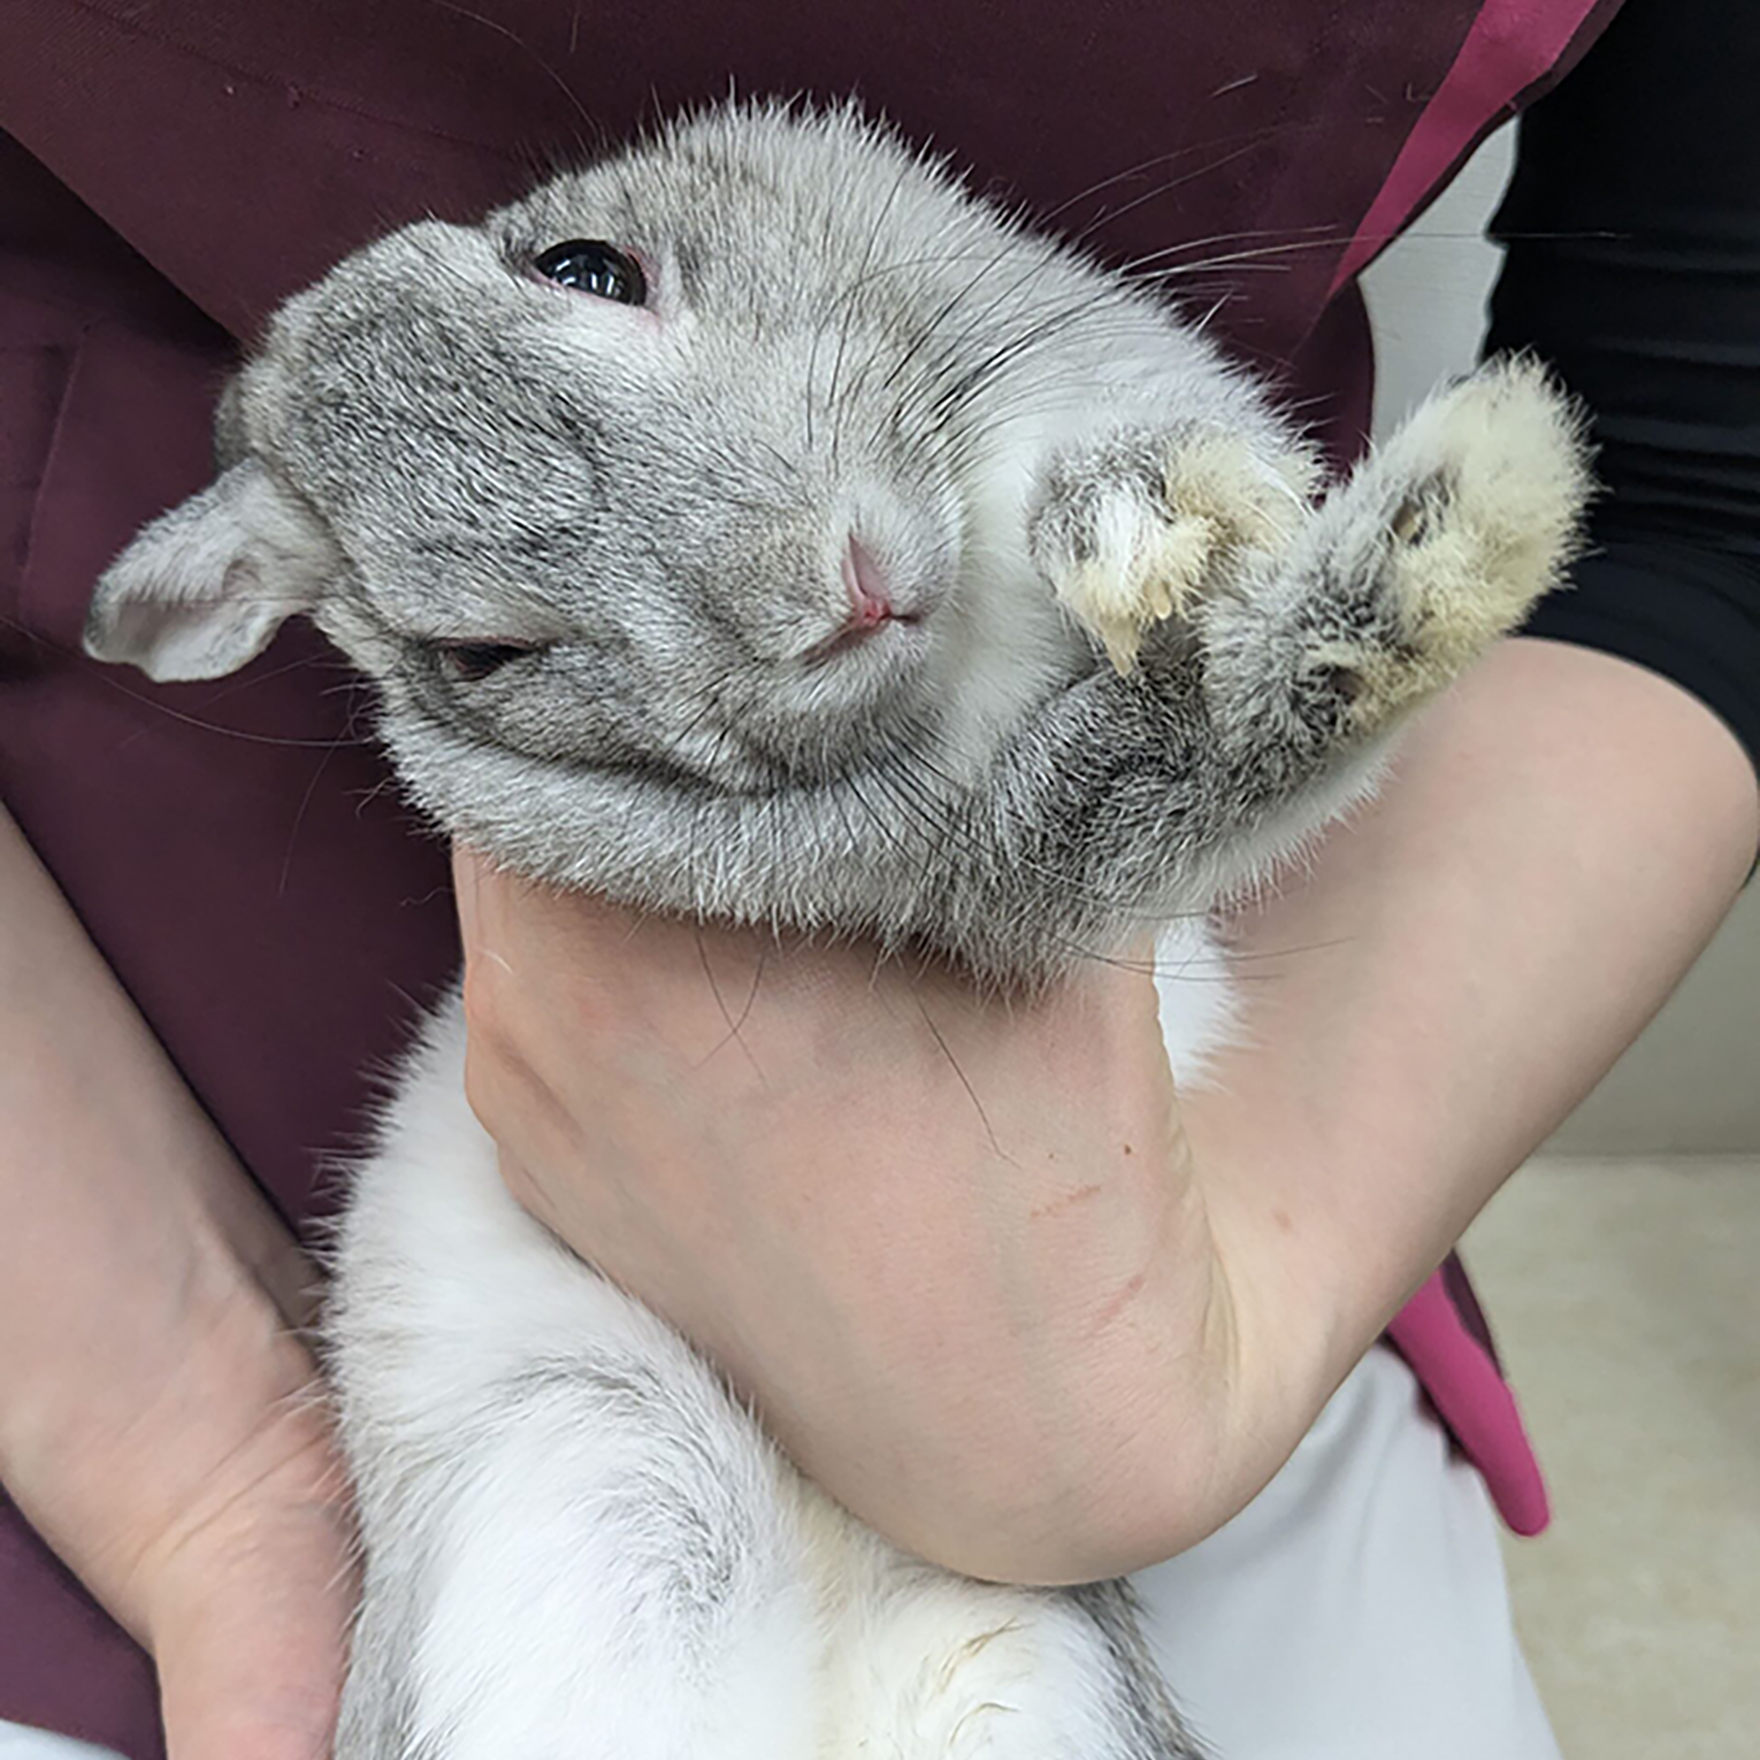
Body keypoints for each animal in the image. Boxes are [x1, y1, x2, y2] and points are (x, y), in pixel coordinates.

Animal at [85, 102, 1598, 1760]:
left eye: (585, 264)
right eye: (475, 657)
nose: (836, 591)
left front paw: (1157, 513)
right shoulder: (1012, 866)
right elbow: (1183, 756)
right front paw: (1467, 513)